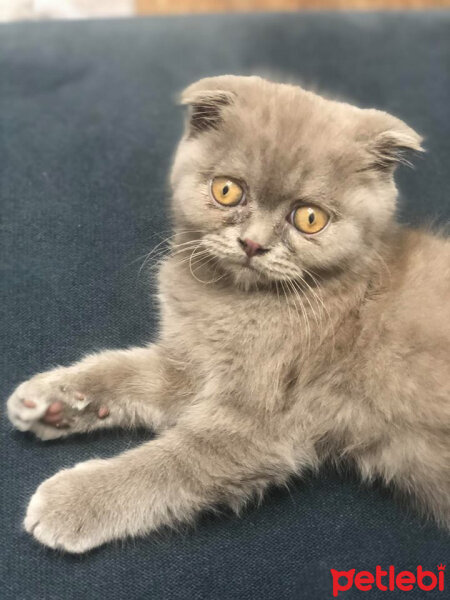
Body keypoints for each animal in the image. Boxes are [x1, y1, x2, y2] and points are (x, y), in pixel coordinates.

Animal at [7, 75, 450, 552]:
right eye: (227, 190)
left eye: (310, 218)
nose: (253, 244)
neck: (230, 303)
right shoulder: (191, 362)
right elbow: (123, 370)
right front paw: (53, 399)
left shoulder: (258, 423)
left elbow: (171, 465)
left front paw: (75, 500)